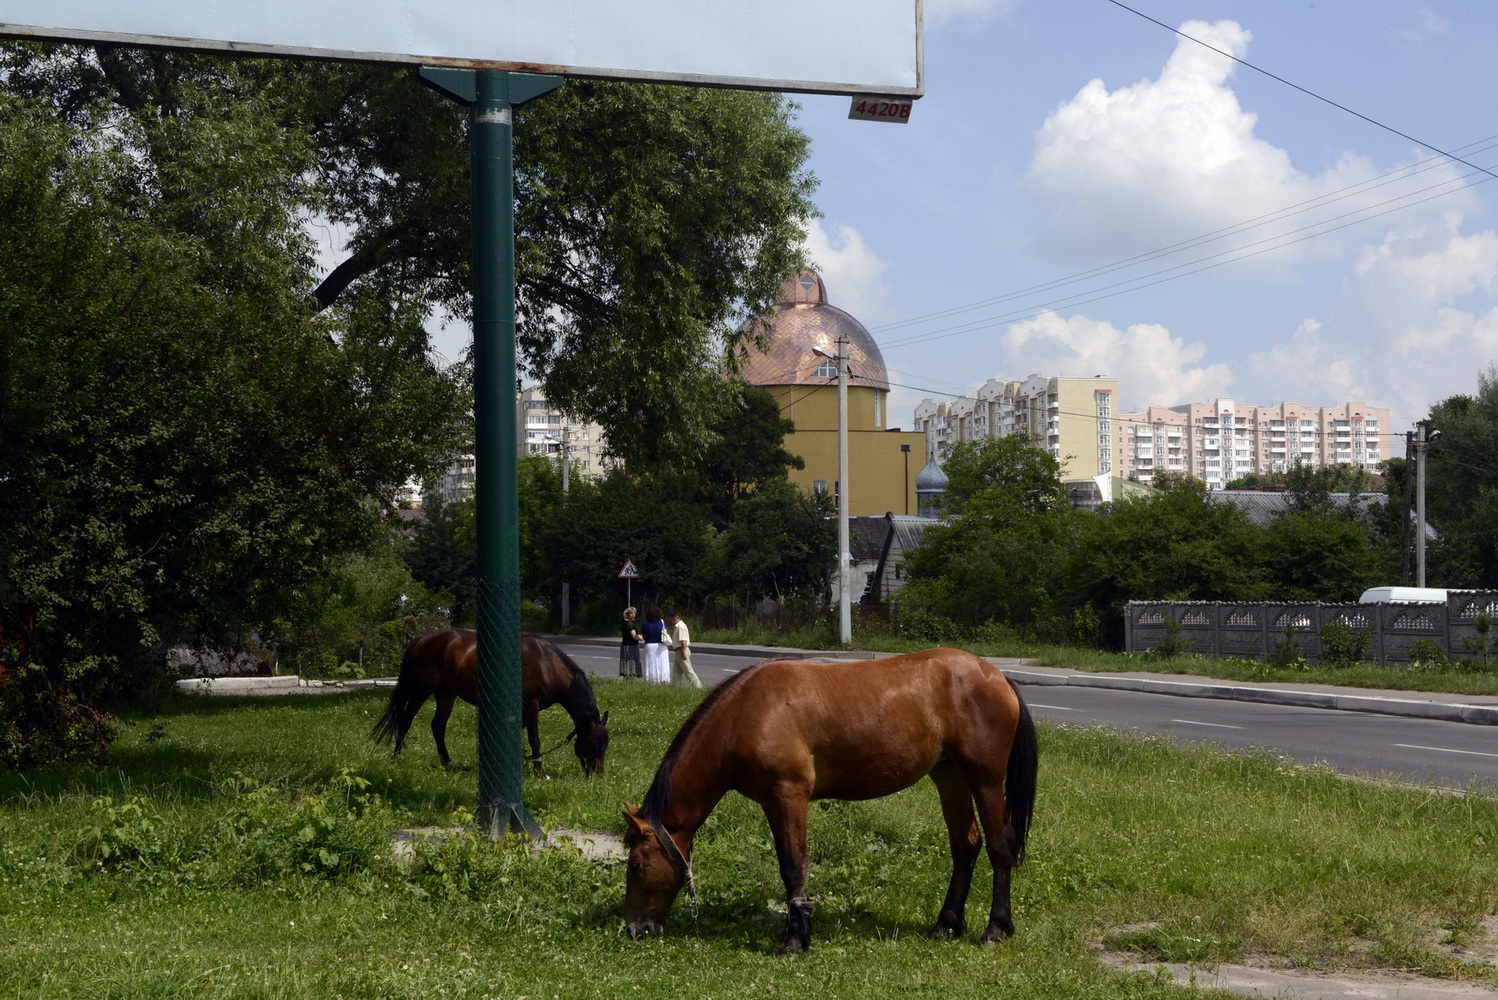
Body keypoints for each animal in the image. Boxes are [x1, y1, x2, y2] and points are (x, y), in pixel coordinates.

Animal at [373, 628, 608, 778]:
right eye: (592, 743)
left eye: (606, 745)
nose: (597, 776)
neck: (546, 663)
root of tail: (421, 640)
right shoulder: (532, 706)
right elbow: (534, 739)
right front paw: (540, 771)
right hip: (422, 690)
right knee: (405, 720)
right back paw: (397, 758)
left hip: (446, 693)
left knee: (438, 726)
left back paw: (448, 763)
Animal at [620, 649, 1030, 952]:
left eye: (636, 865)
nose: (634, 928)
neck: (746, 714)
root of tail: (996, 675)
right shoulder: (772, 802)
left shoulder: (790, 795)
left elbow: (793, 866)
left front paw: (795, 939)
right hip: (950, 776)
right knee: (965, 846)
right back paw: (945, 925)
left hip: (984, 779)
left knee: (999, 846)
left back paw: (996, 928)